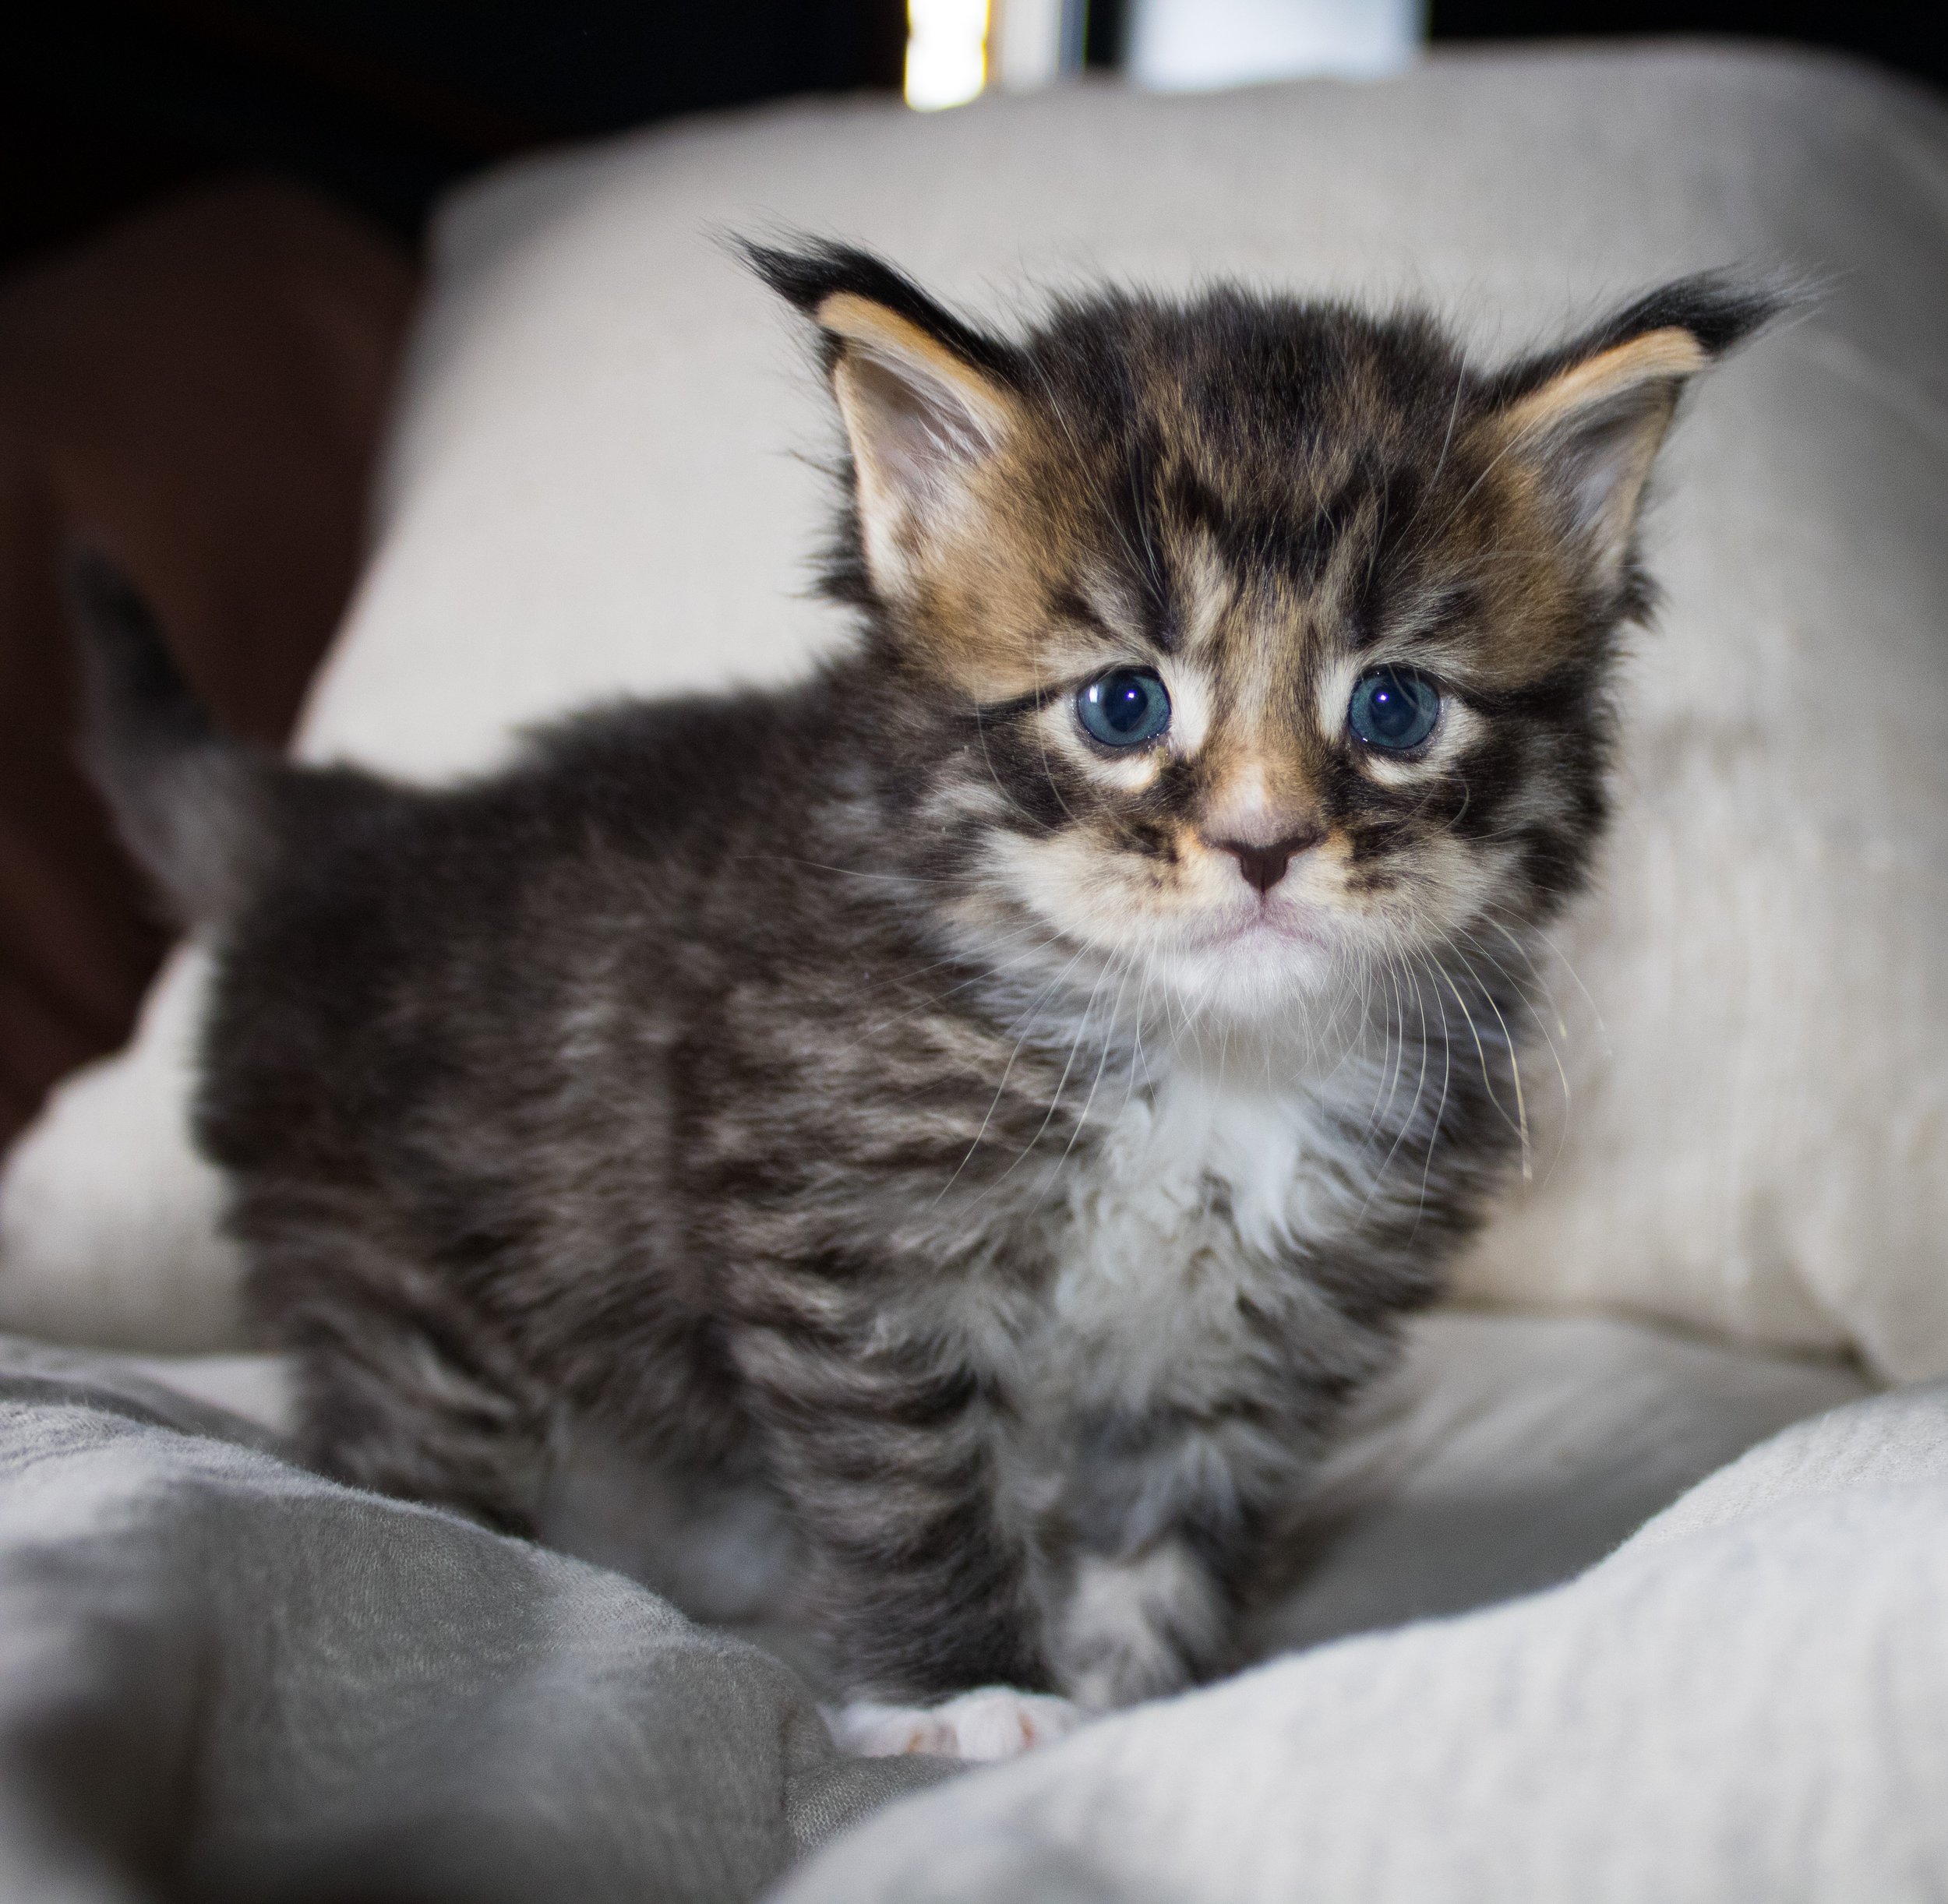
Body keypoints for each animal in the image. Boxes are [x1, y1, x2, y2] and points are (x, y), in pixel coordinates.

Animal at [74, 240, 1774, 1760]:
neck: (1202, 1061)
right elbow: (915, 1492)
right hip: (408, 1301)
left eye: (1394, 707)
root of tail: (351, 826)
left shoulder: (1261, 1336)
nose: (1264, 843)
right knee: (405, 1451)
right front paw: (964, 1689)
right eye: (1123, 704)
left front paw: (1138, 1694)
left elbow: (1172, 1534)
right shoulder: (859, 1257)